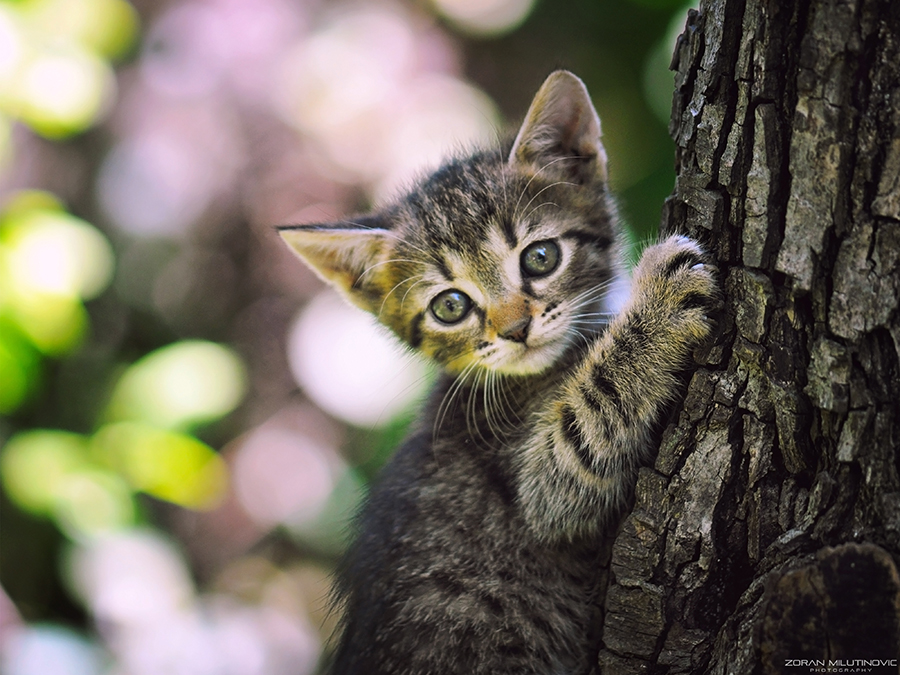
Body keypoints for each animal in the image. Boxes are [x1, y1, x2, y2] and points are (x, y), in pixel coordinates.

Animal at [278, 71, 720, 675]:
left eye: (540, 257)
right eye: (450, 307)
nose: (515, 330)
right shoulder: (537, 482)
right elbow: (590, 420)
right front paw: (658, 304)